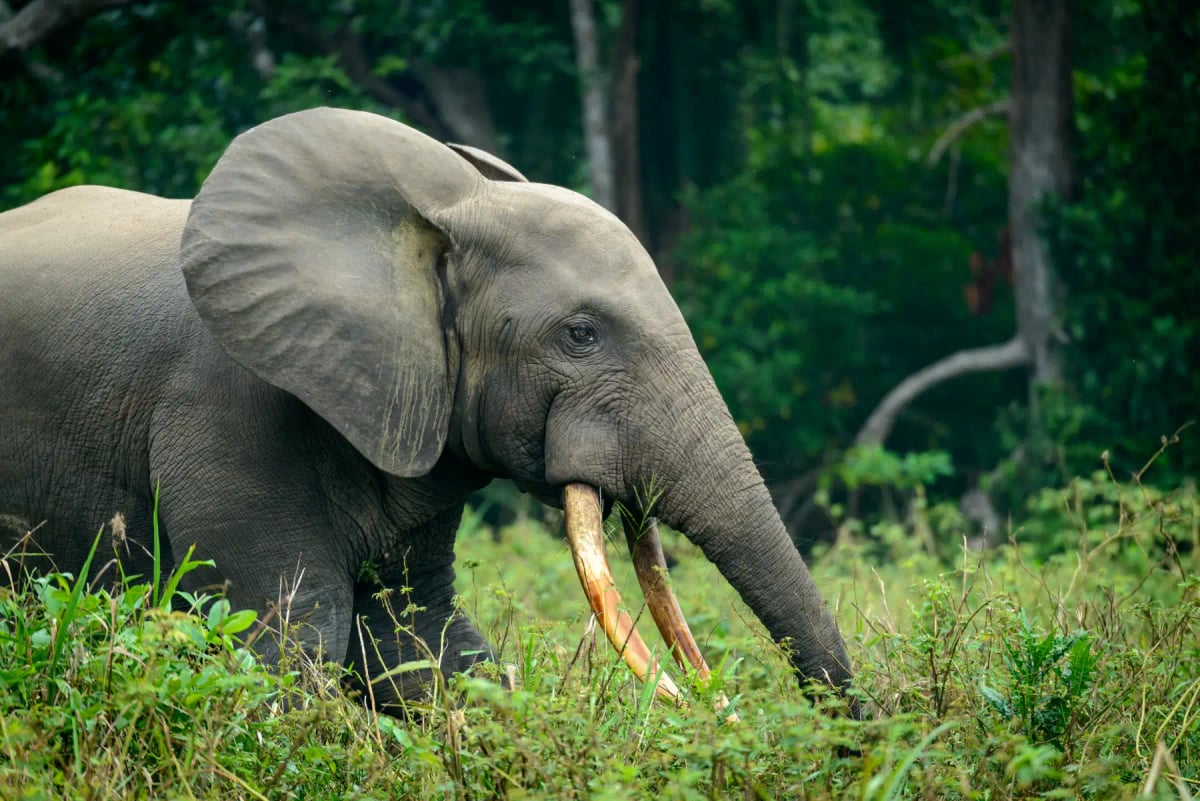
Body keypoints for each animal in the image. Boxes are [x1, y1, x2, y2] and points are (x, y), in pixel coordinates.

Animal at [0, 107, 854, 713]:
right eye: (579, 334)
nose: (855, 733)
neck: (439, 215)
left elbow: (417, 636)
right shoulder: (226, 410)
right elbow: (292, 640)